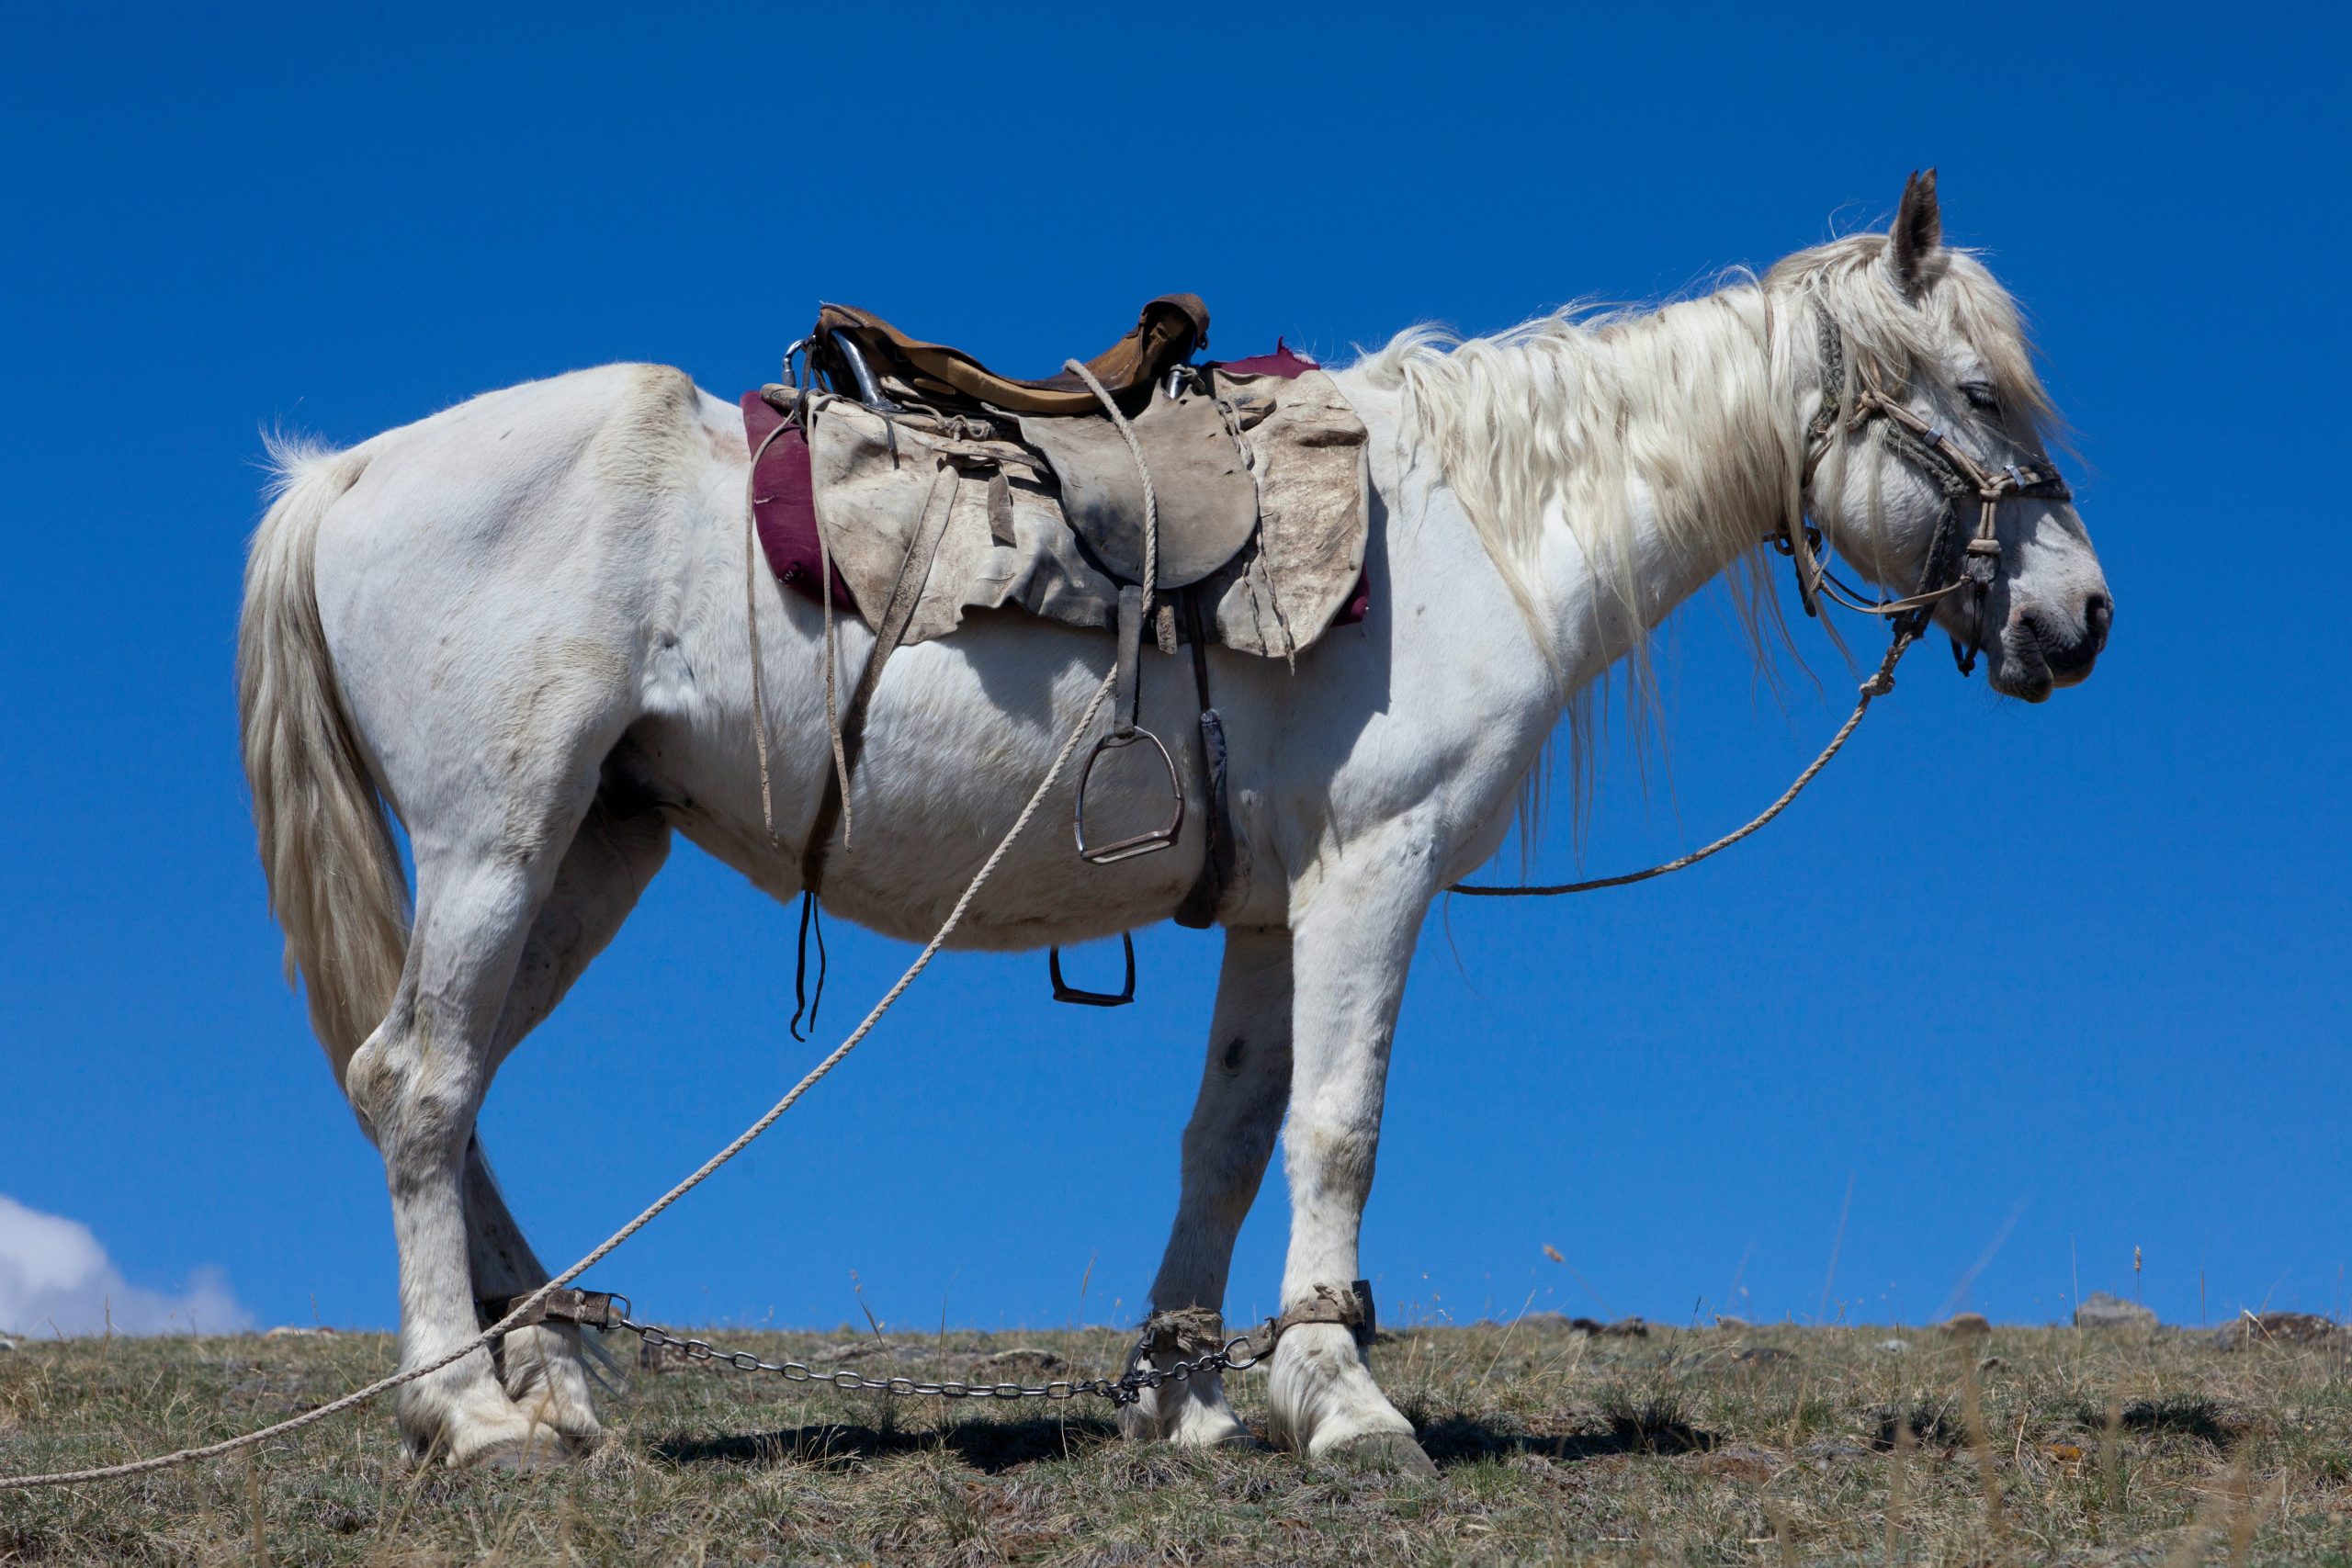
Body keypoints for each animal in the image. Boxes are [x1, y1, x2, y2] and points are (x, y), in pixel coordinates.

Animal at [243, 175, 2117, 1476]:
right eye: (1977, 391)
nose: (2085, 617)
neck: (1473, 528)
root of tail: (340, 477)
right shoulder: (1376, 869)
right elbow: (1340, 1132)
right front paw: (1347, 1403)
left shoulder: (1279, 908)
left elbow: (1227, 1136)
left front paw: (1195, 1397)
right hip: (500, 834)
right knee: (420, 1079)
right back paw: (471, 1415)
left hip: (592, 843)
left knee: (440, 1084)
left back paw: (553, 1373)